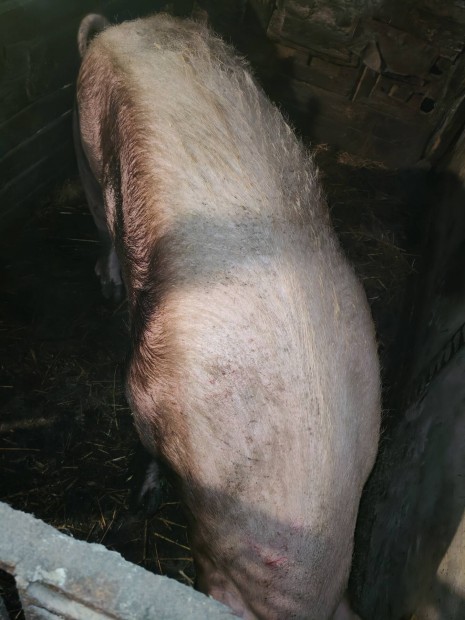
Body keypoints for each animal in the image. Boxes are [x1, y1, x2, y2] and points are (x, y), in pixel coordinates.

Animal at [74, 12, 380, 620]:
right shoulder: (146, 388)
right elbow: (145, 448)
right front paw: (139, 507)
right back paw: (110, 289)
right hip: (88, 143)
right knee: (103, 226)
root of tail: (119, 26)